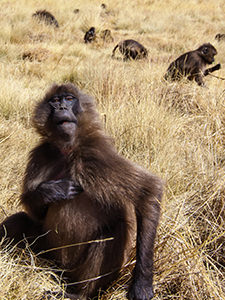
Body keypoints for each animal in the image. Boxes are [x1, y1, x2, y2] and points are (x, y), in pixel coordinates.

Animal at [0, 82, 163, 300]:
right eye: (54, 100)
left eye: (69, 99)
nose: (61, 108)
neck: (68, 149)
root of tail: (61, 271)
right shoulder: (41, 154)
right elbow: (35, 211)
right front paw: (52, 190)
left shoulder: (96, 155)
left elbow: (149, 191)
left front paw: (142, 284)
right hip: (46, 253)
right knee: (19, 220)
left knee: (112, 234)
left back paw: (77, 294)